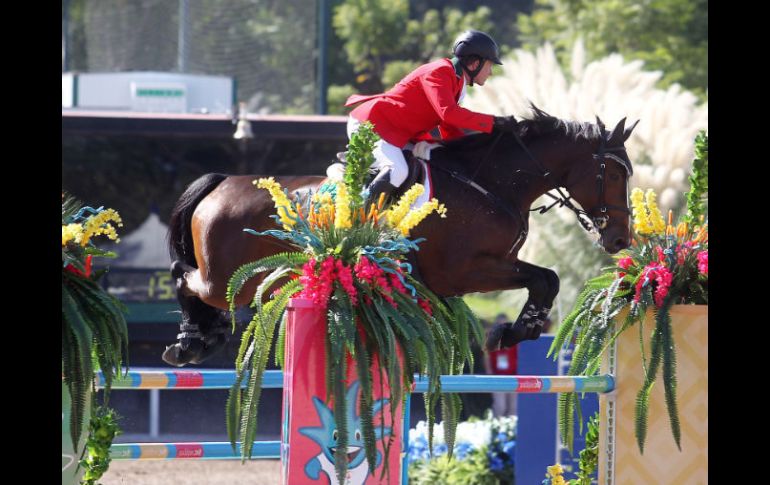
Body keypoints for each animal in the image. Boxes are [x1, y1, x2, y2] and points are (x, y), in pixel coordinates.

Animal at [162, 108, 636, 364]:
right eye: (614, 174)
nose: (620, 241)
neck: (491, 184)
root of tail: (223, 182)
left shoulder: (489, 266)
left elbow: (546, 278)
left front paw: (521, 329)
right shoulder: (464, 271)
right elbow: (544, 277)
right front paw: (513, 332)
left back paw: (203, 336)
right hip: (227, 278)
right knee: (183, 276)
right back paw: (191, 341)